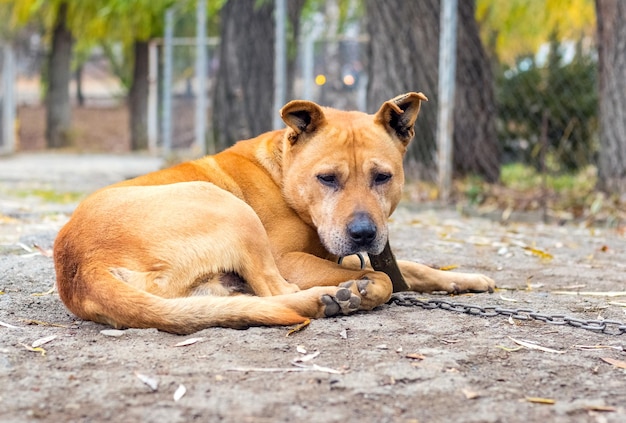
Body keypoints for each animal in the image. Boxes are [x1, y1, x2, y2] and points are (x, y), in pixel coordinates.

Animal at [53, 93, 492, 334]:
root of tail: (79, 267)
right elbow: (382, 277)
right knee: (278, 291)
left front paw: (467, 279)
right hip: (231, 210)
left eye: (382, 177)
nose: (365, 234)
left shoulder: (342, 252)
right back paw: (331, 297)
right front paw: (363, 287)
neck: (283, 174)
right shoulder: (291, 258)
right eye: (327, 178)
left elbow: (415, 269)